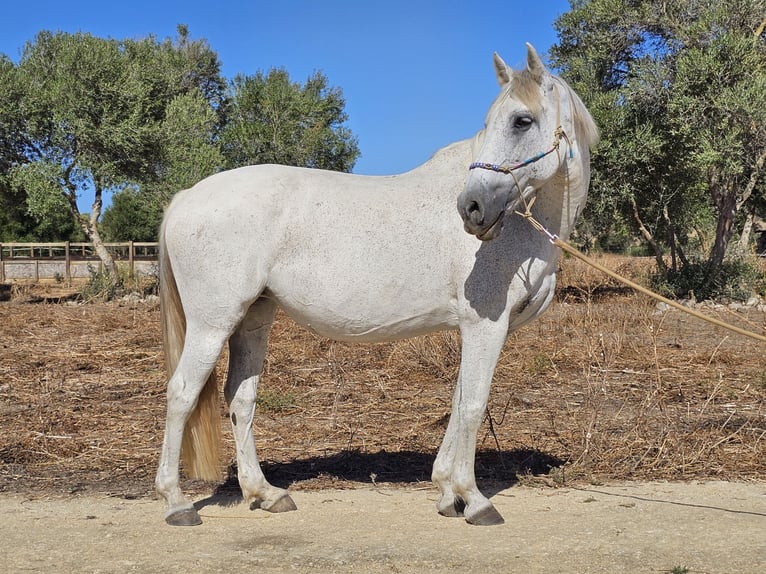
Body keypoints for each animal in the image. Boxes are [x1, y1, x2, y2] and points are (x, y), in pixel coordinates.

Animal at [156, 45, 600, 528]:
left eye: (521, 121)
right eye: (499, 121)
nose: (472, 208)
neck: (521, 227)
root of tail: (184, 198)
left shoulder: (471, 330)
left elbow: (458, 398)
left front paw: (447, 492)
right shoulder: (485, 326)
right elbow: (473, 405)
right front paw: (473, 498)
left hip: (253, 318)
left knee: (241, 398)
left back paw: (265, 493)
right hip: (212, 324)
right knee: (182, 394)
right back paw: (176, 502)